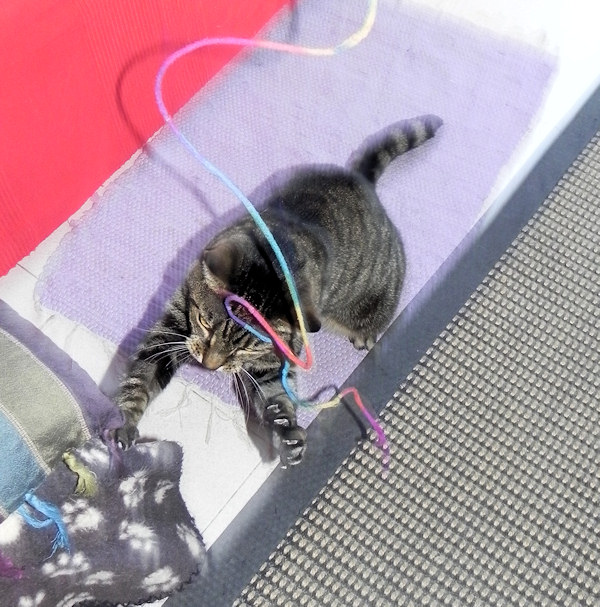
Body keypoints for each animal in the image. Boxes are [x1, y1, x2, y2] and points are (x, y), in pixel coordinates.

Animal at [113, 114, 443, 466]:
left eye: (247, 349)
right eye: (204, 322)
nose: (208, 366)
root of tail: (360, 179)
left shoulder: (273, 362)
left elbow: (277, 397)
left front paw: (287, 433)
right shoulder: (170, 328)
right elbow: (141, 377)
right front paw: (126, 421)